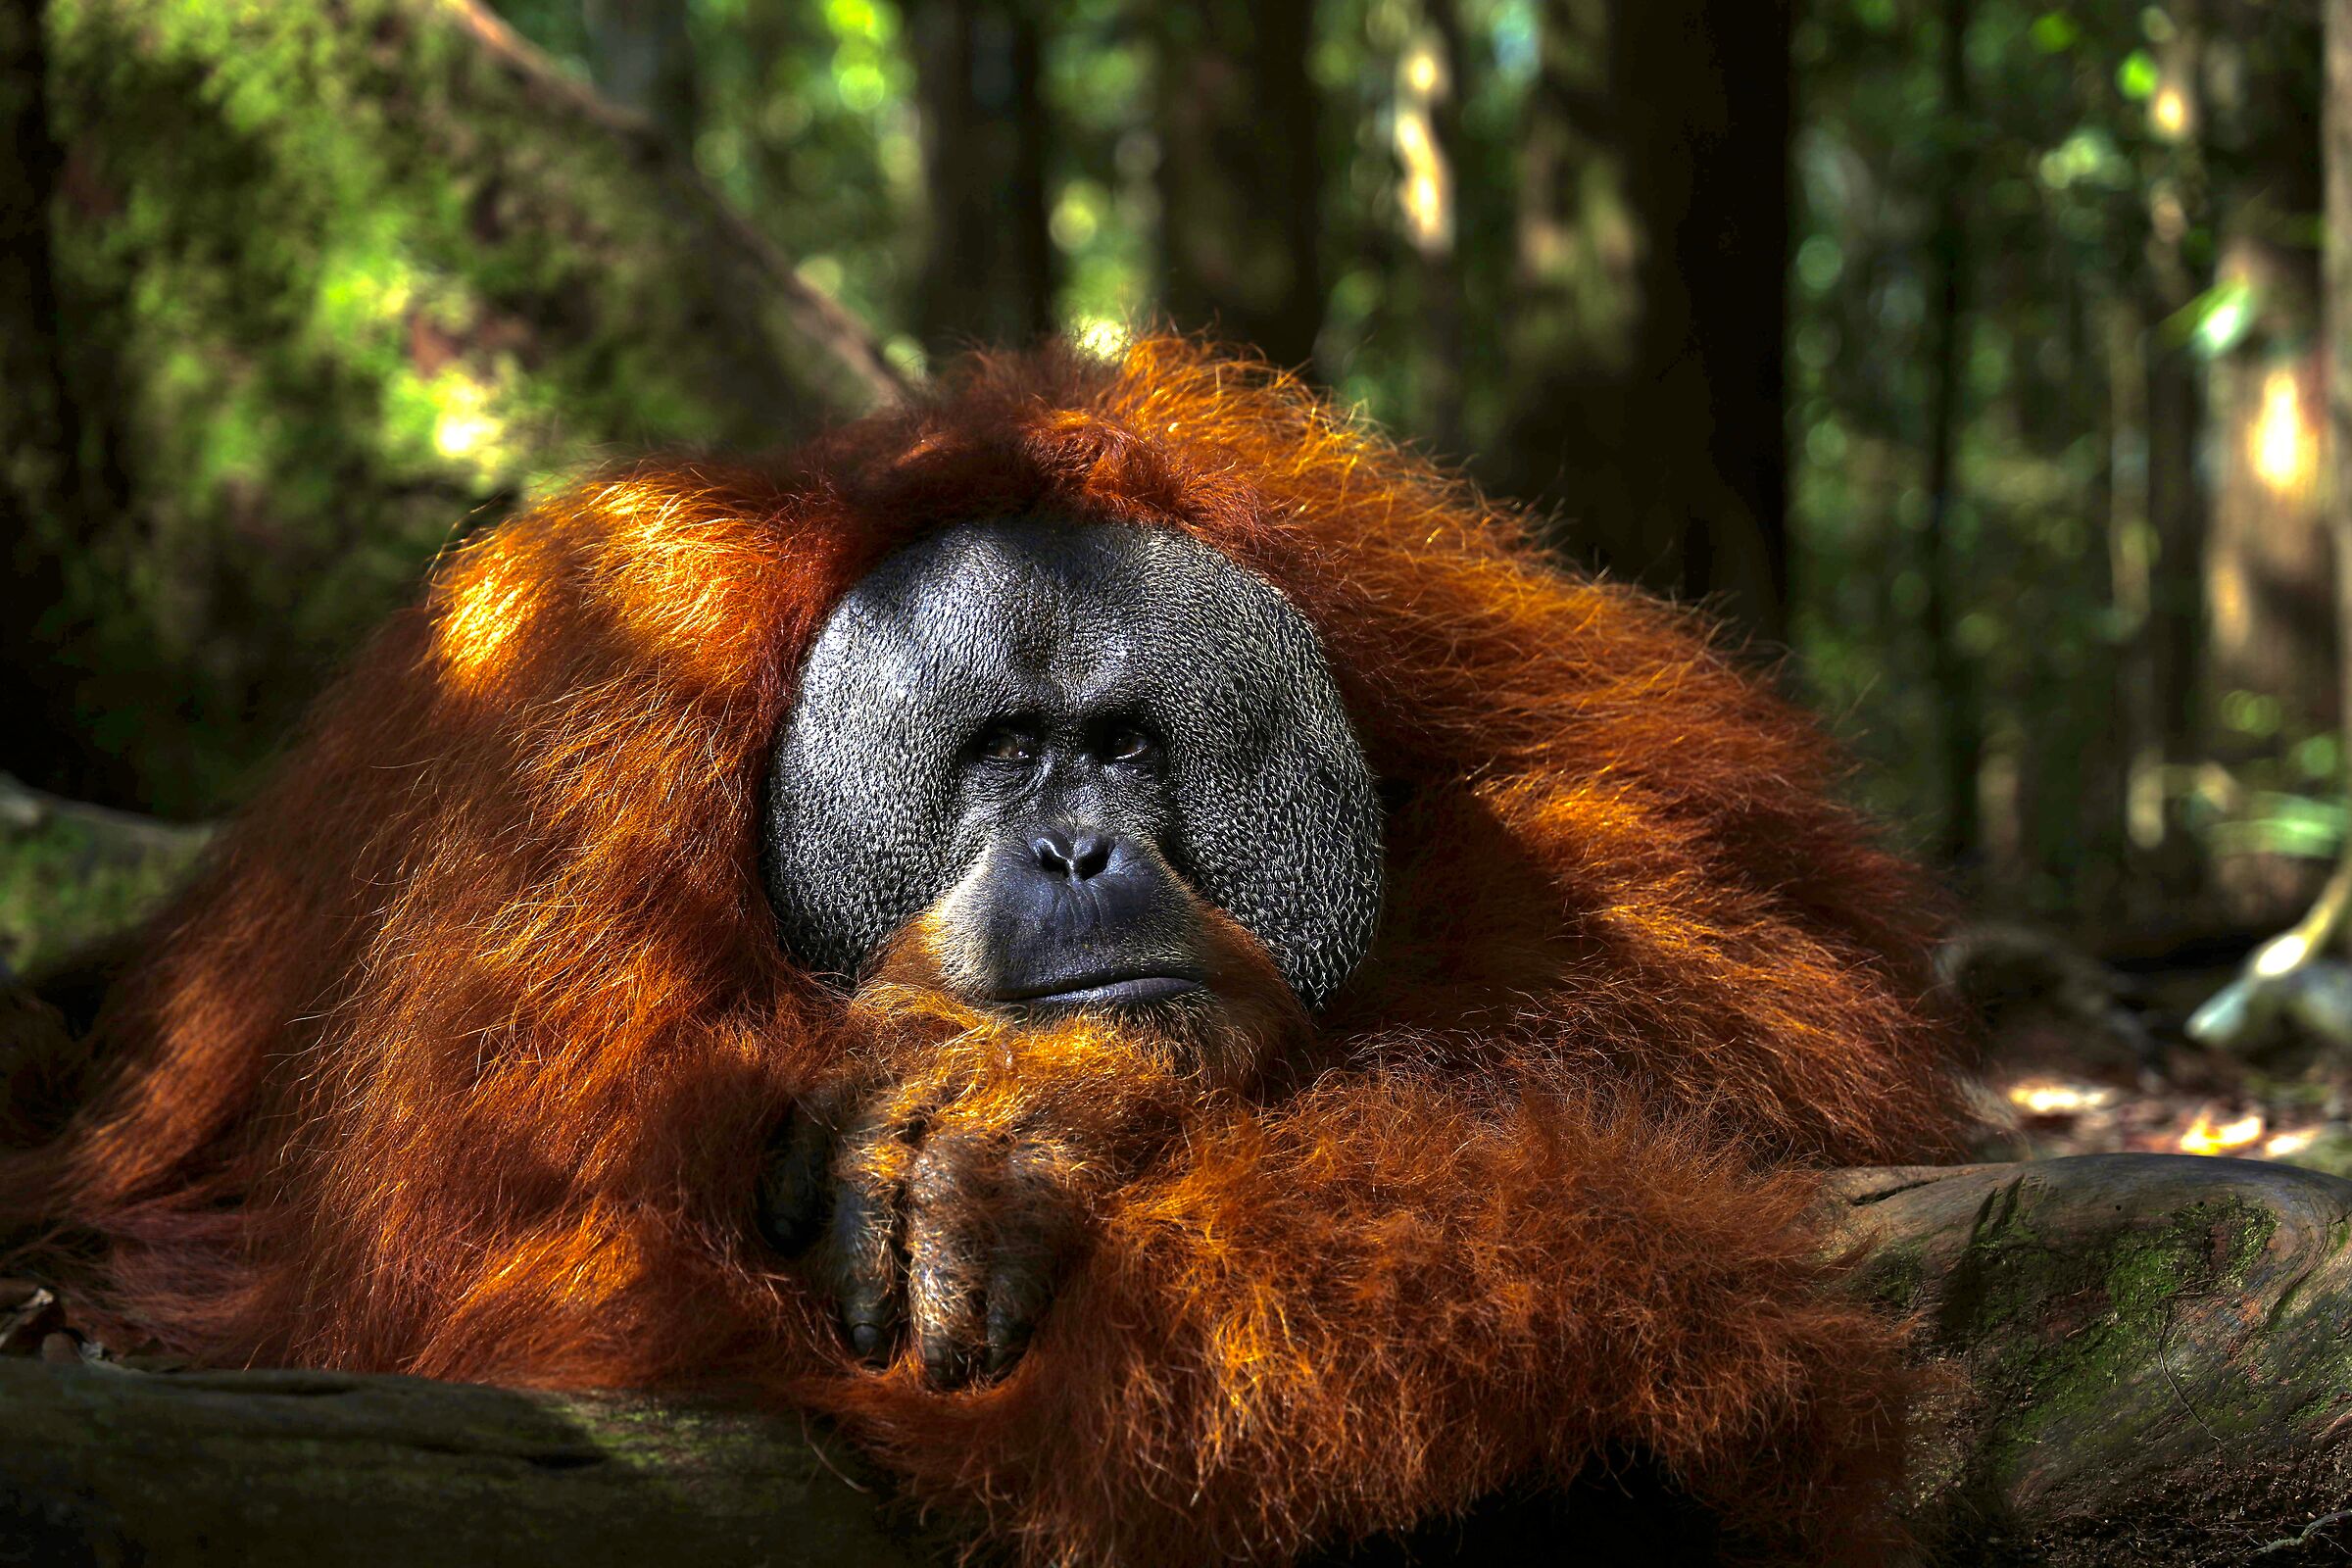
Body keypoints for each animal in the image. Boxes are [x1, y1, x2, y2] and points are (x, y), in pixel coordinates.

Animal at [1, 337, 1966, 1566]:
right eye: (1006, 752)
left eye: (1125, 746)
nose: (1077, 849)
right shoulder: (579, 745)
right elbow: (528, 1261)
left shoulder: (1444, 617)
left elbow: (1776, 994)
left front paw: (1050, 1107)